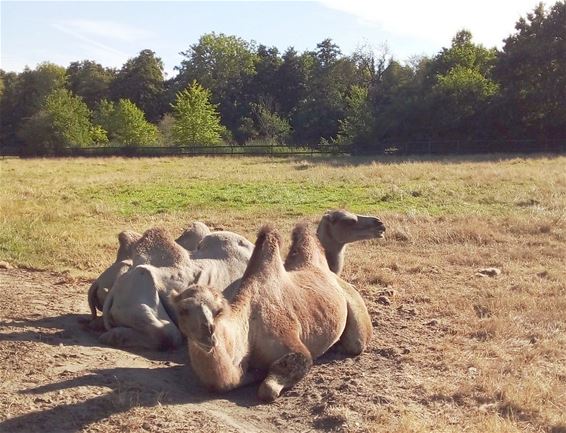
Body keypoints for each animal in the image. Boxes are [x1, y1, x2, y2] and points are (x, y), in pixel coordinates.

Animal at [175, 223, 374, 402]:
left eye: (217, 311)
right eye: (183, 311)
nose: (207, 333)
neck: (249, 328)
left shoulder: (290, 340)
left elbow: (270, 387)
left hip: (353, 303)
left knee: (356, 343)